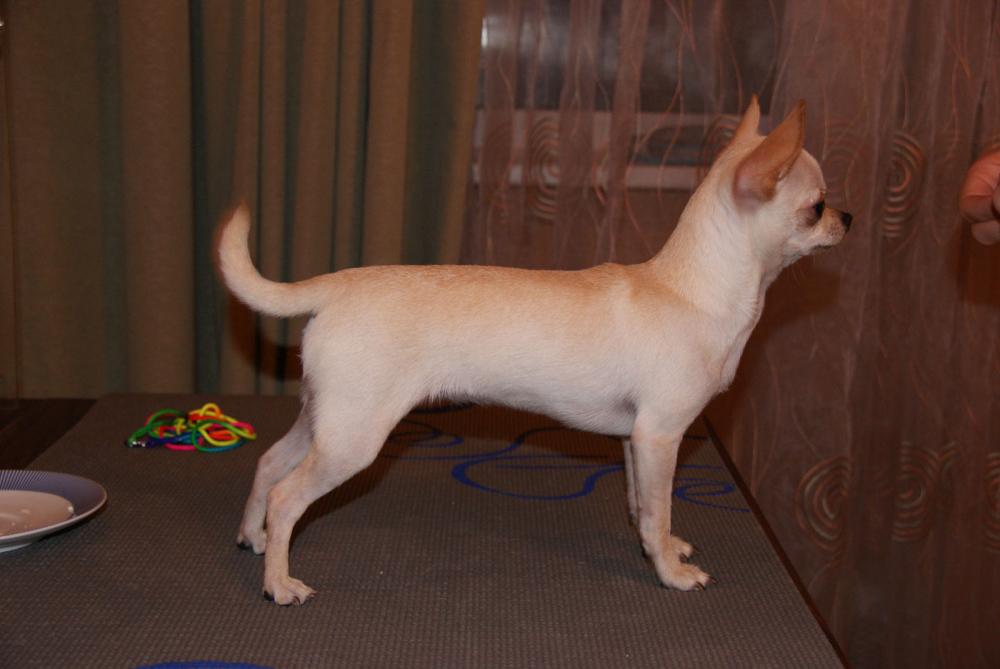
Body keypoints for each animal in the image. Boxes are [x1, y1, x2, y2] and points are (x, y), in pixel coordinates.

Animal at [217, 96, 852, 605]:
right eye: (817, 206)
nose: (848, 216)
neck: (690, 287)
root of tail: (337, 285)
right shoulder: (661, 436)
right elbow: (659, 506)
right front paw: (671, 572)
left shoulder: (636, 440)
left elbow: (643, 507)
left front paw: (663, 548)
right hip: (354, 438)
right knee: (287, 495)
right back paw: (279, 582)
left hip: (326, 419)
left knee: (269, 463)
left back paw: (254, 538)